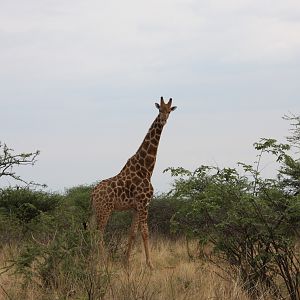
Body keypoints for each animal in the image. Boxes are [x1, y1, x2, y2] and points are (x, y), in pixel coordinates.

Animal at [91, 97, 176, 268]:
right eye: (159, 110)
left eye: (169, 111)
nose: (163, 120)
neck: (147, 169)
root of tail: (93, 193)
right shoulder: (144, 203)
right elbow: (145, 232)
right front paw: (150, 264)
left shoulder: (136, 207)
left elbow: (132, 232)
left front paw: (127, 262)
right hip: (105, 209)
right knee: (99, 233)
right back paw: (103, 261)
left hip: (96, 210)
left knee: (90, 231)